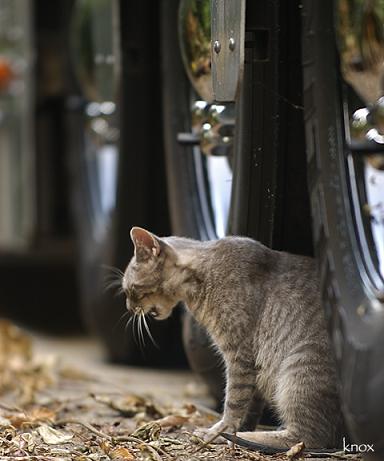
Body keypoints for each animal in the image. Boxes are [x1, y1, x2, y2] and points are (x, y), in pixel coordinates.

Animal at [121, 226, 344, 450]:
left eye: (131, 290)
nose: (129, 308)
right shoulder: (253, 368)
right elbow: (250, 406)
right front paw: (238, 429)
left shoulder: (239, 355)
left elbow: (234, 402)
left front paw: (220, 432)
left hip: (300, 366)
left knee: (308, 438)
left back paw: (250, 438)